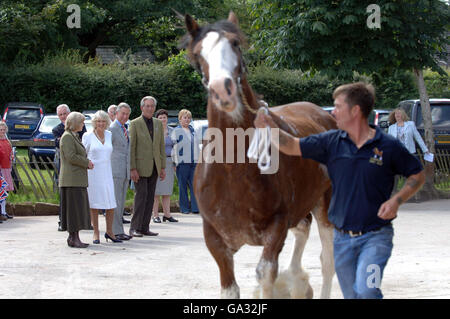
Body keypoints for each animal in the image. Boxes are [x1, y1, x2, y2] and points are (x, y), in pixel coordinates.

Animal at [184, 11, 338, 298]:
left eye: (235, 43)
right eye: (198, 54)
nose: (223, 90)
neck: (232, 170)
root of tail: (324, 115)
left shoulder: (276, 227)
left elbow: (265, 275)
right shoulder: (214, 237)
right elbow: (229, 288)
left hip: (324, 203)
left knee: (327, 260)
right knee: (303, 230)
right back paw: (297, 281)